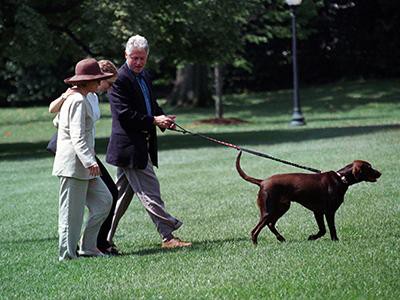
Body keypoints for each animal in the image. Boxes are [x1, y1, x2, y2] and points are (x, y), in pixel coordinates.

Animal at [238, 151, 382, 245]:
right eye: (369, 167)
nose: (380, 173)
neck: (341, 178)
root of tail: (262, 182)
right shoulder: (329, 212)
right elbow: (331, 228)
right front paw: (334, 240)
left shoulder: (318, 212)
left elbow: (323, 230)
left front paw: (313, 237)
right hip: (268, 210)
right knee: (255, 230)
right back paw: (256, 244)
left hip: (282, 207)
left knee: (270, 224)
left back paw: (281, 238)